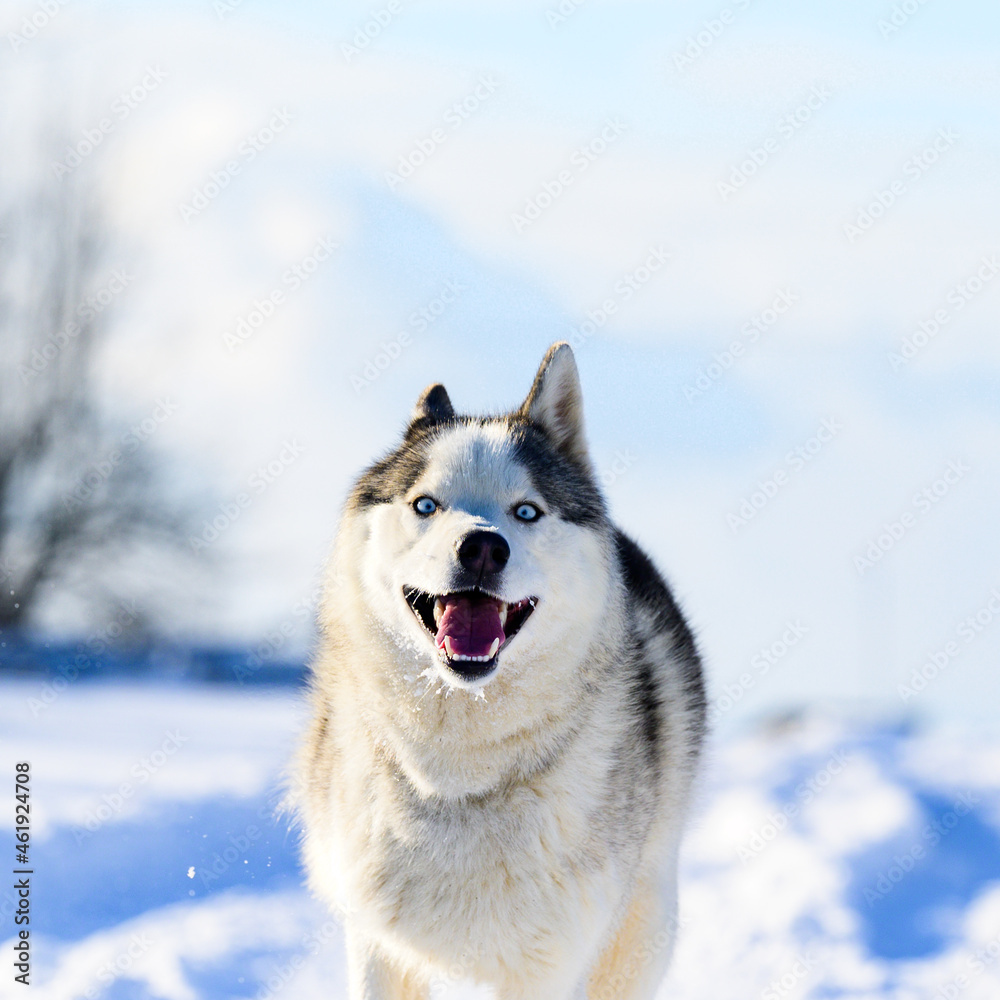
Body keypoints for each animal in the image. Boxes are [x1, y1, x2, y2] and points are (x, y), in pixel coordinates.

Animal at [292, 344, 708, 1000]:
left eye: (527, 511)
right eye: (426, 505)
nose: (483, 547)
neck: (456, 775)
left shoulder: (548, 966)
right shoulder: (379, 947)